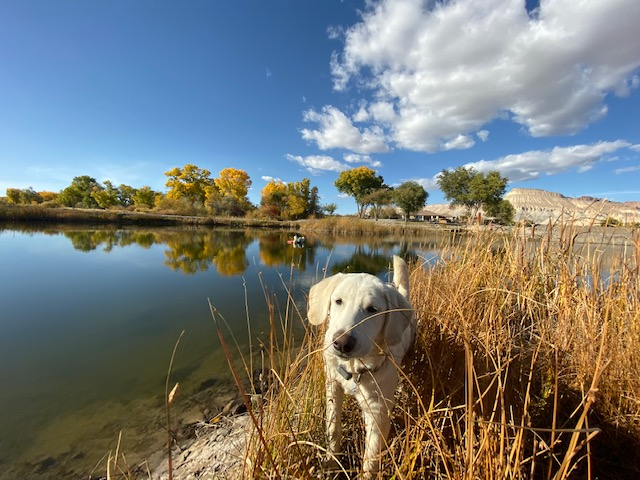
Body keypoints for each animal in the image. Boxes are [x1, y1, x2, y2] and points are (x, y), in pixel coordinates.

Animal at [308, 255, 418, 476]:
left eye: (372, 310)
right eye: (338, 301)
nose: (342, 343)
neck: (355, 369)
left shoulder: (378, 412)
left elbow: (371, 457)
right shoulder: (332, 386)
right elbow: (333, 427)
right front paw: (331, 462)